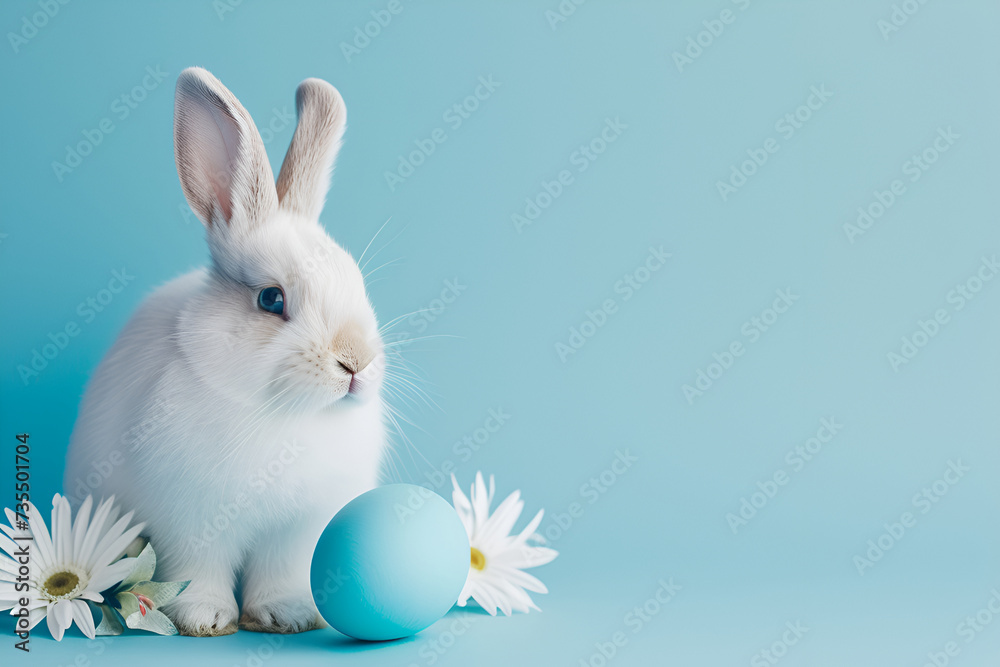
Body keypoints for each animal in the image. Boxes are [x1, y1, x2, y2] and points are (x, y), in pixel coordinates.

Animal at [64, 67, 387, 636]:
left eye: (357, 282)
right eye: (271, 299)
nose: (356, 362)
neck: (285, 415)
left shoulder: (295, 533)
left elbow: (280, 575)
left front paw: (286, 615)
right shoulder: (191, 522)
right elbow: (199, 570)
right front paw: (207, 619)